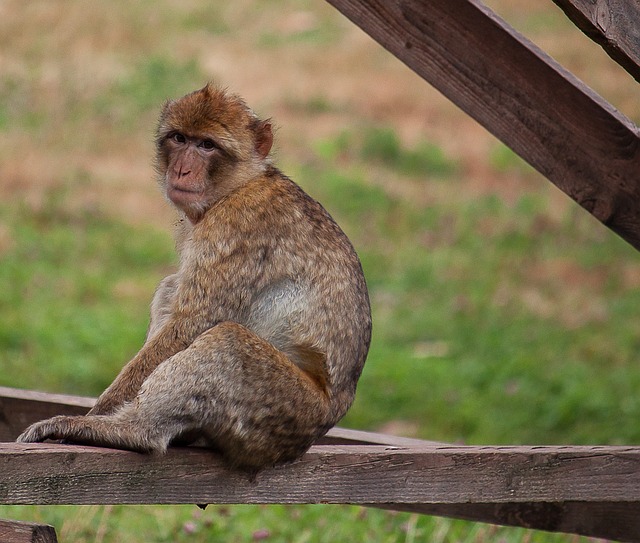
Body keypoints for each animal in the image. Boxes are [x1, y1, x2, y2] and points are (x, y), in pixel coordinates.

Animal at [17, 84, 372, 472]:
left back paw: (131, 430)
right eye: (179, 138)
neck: (238, 186)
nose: (182, 170)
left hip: (281, 411)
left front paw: (98, 413)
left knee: (227, 340)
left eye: (206, 145)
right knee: (171, 288)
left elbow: (194, 323)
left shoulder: (235, 225)